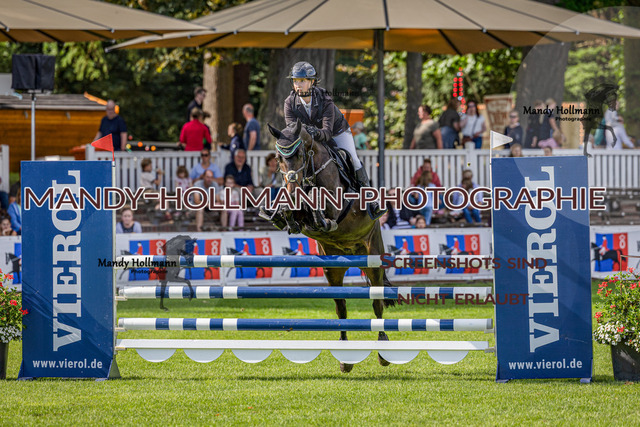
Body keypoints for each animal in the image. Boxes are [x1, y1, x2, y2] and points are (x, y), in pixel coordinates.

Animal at [267, 119, 394, 373]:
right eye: (278, 157)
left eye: (299, 154)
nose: (293, 188)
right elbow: (294, 212)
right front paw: (286, 211)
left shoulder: (336, 206)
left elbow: (321, 208)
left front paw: (316, 212)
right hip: (332, 269)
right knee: (341, 307)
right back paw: (345, 358)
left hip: (372, 261)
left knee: (377, 304)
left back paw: (383, 351)